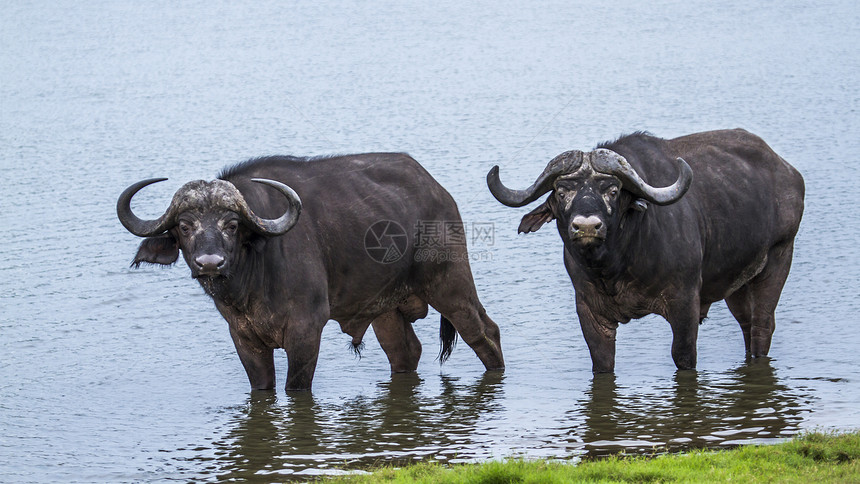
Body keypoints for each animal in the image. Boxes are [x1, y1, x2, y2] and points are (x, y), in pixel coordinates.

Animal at [115, 153, 504, 392]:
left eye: (231, 225)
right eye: (184, 226)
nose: (210, 263)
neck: (251, 286)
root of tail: (437, 191)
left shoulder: (305, 332)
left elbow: (295, 388)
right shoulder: (243, 339)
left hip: (451, 283)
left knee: (485, 332)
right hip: (386, 309)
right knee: (405, 351)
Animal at [488, 127, 804, 370]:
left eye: (613, 190)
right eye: (562, 192)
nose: (587, 226)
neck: (616, 268)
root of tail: (789, 173)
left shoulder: (685, 303)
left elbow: (683, 357)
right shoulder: (590, 312)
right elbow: (602, 361)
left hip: (779, 258)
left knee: (763, 326)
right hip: (737, 284)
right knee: (747, 325)